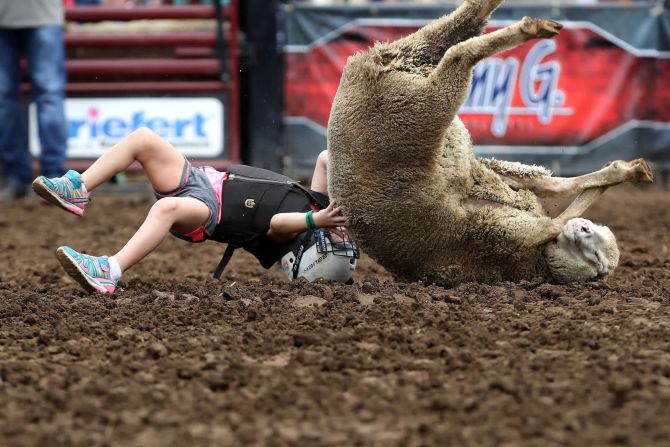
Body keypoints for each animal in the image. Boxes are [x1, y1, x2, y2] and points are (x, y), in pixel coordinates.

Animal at [330, 0, 656, 288]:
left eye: (598, 257)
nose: (584, 227)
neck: (540, 258)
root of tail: (370, 70)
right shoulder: (517, 231)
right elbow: (559, 201)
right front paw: (624, 172)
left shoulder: (508, 199)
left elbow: (557, 187)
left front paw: (624, 171)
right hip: (426, 105)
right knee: (460, 53)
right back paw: (532, 28)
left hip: (415, 71)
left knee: (462, 29)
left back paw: (531, 25)